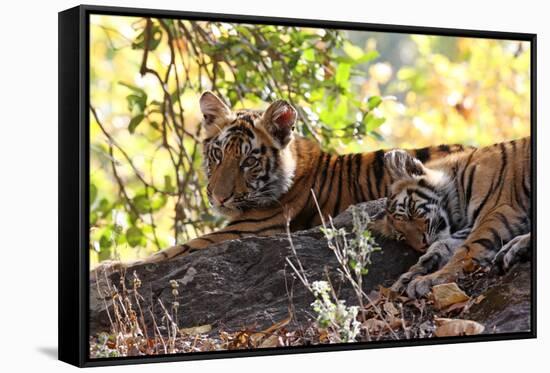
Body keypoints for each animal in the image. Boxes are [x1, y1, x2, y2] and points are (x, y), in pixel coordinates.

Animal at [101, 92, 472, 268]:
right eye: (217, 154)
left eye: (249, 160)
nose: (219, 199)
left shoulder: (244, 231)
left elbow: (166, 253)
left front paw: (107, 267)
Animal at [370, 137, 532, 296]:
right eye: (402, 236)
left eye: (410, 210)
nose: (422, 245)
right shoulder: (469, 226)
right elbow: (442, 245)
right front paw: (409, 276)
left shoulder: (500, 211)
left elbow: (468, 248)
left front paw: (431, 279)